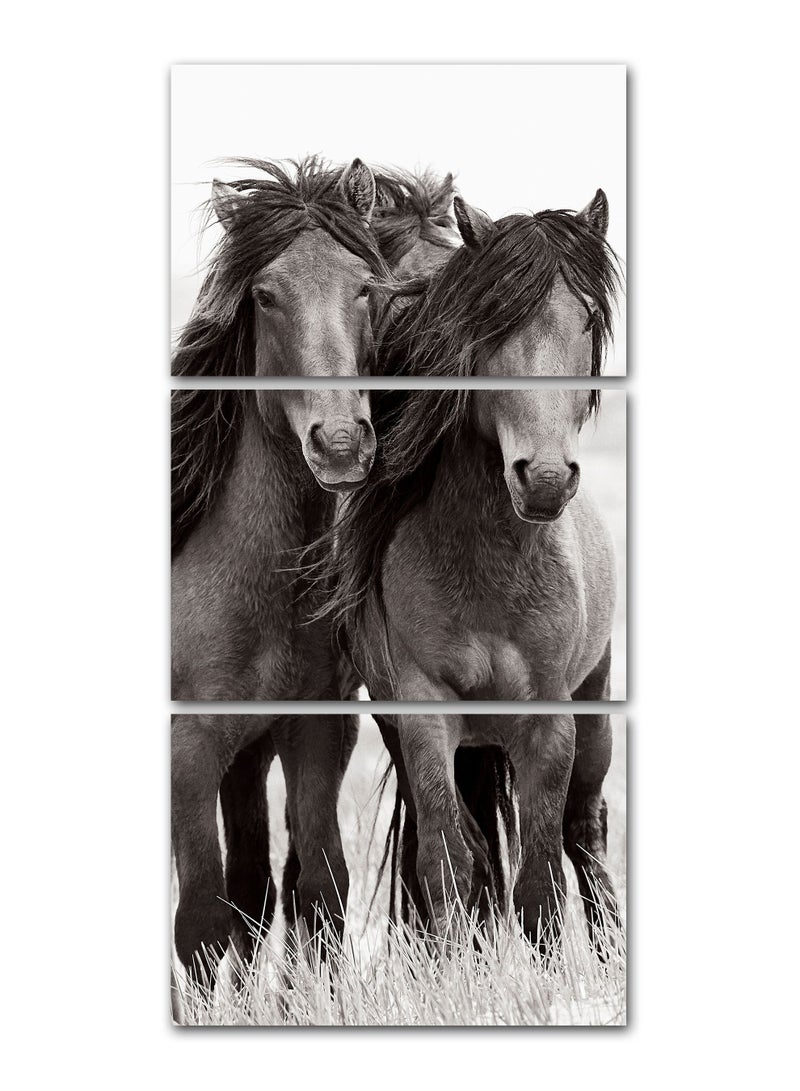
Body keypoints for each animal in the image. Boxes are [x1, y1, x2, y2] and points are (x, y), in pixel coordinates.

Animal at [171, 156, 389, 986]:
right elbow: (199, 923)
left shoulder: (312, 732)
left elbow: (317, 892)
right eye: (265, 294)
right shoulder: (188, 751)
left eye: (365, 287)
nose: (339, 444)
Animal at [324, 190, 623, 952]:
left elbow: (541, 878)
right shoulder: (424, 717)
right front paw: (457, 957)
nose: (544, 479)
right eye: (493, 324)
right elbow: (448, 860)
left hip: (596, 709)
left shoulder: (552, 722)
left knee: (585, 830)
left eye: (586, 318)